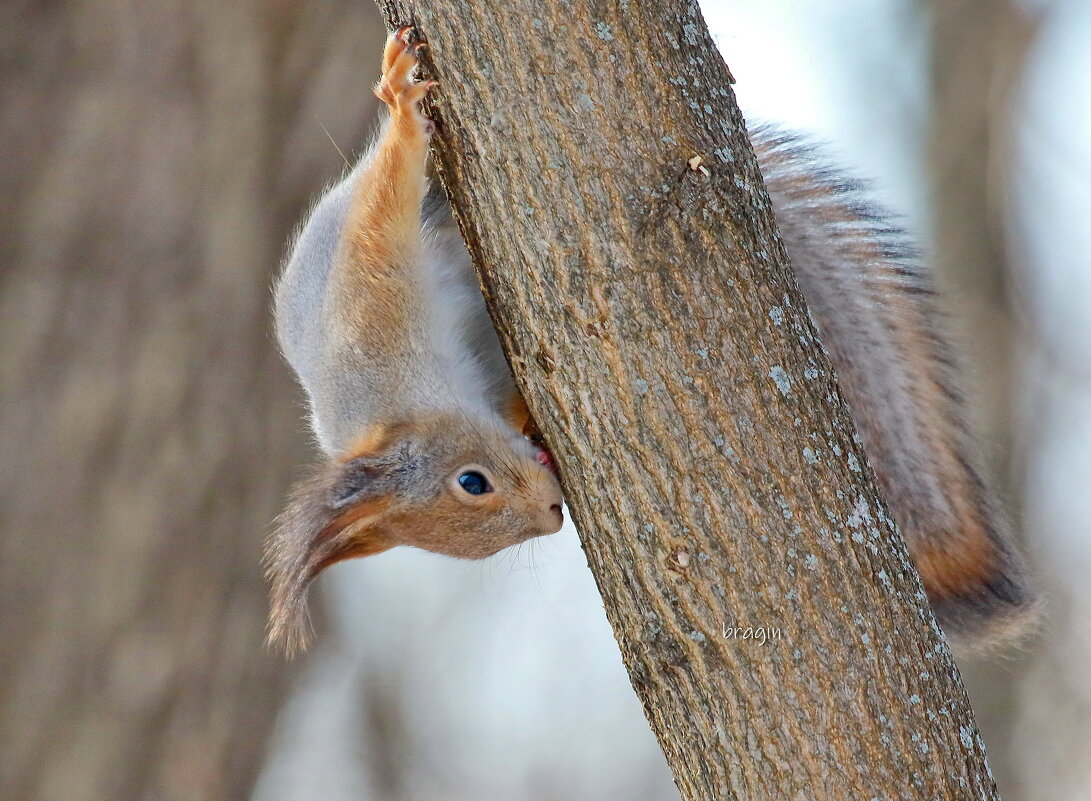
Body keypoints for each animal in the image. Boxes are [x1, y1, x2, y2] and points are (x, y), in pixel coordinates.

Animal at [261, 26, 1029, 659]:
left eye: (470, 482)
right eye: (476, 512)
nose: (549, 513)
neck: (409, 395)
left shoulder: (369, 290)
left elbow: (385, 196)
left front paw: (398, 101)